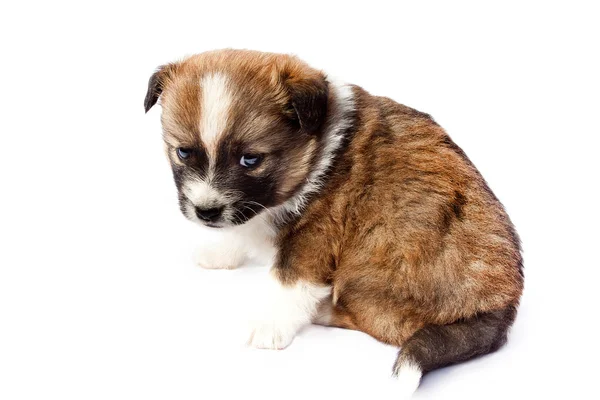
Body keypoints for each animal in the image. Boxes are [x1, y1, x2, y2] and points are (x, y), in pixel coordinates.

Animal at [145, 50, 524, 396]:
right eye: (183, 152)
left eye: (250, 159)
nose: (205, 212)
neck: (316, 153)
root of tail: (501, 309)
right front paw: (221, 251)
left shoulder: (315, 235)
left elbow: (288, 282)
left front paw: (271, 326)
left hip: (374, 262)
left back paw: (323, 312)